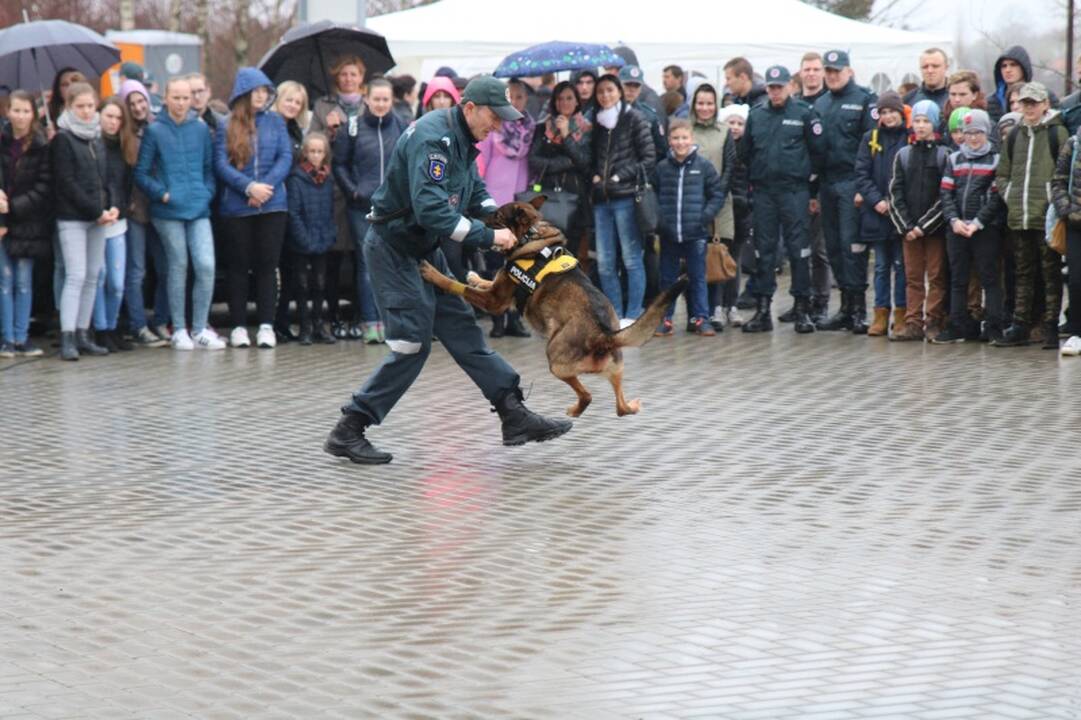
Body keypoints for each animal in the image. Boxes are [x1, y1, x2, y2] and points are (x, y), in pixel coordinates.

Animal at [417, 193, 687, 417]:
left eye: (497, 216)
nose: (470, 217)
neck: (531, 234)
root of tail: (604, 335)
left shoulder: (495, 301)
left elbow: (460, 286)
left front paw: (435, 274)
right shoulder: (499, 291)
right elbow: (485, 281)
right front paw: (475, 276)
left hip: (555, 361)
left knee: (588, 395)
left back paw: (575, 411)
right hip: (614, 370)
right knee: (621, 409)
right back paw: (629, 406)